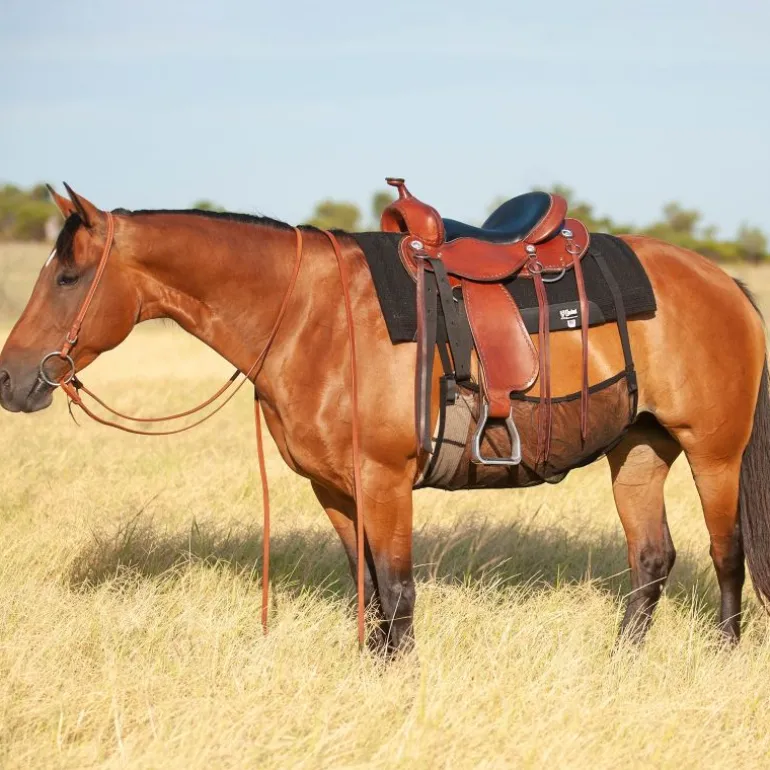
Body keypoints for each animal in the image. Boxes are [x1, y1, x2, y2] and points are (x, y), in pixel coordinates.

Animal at [0, 185, 768, 655]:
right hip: (638, 450)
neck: (308, 315)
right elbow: (367, 591)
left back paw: (723, 655)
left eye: (67, 277)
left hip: (714, 452)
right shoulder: (338, 490)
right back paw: (622, 661)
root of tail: (722, 281)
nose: (9, 379)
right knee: (652, 559)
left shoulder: (386, 481)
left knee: (725, 554)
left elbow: (397, 593)